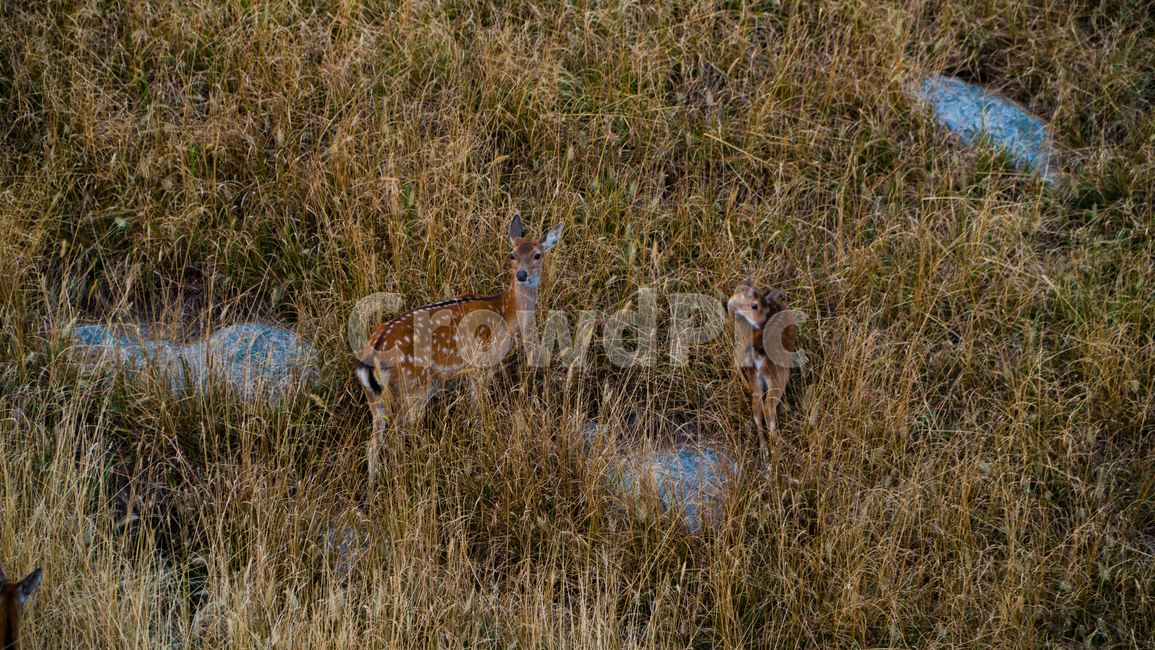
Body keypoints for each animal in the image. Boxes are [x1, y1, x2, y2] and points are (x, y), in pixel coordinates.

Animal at [356, 214, 564, 484]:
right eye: (512, 254)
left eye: (537, 254)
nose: (521, 274)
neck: (506, 313)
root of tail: (370, 357)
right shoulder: (483, 365)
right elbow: (479, 412)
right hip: (410, 389)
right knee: (393, 440)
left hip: (376, 398)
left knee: (373, 444)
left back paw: (374, 487)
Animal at [728, 278, 797, 451]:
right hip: (778, 375)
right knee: (768, 407)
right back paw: (776, 449)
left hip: (754, 373)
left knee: (757, 406)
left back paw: (765, 449)